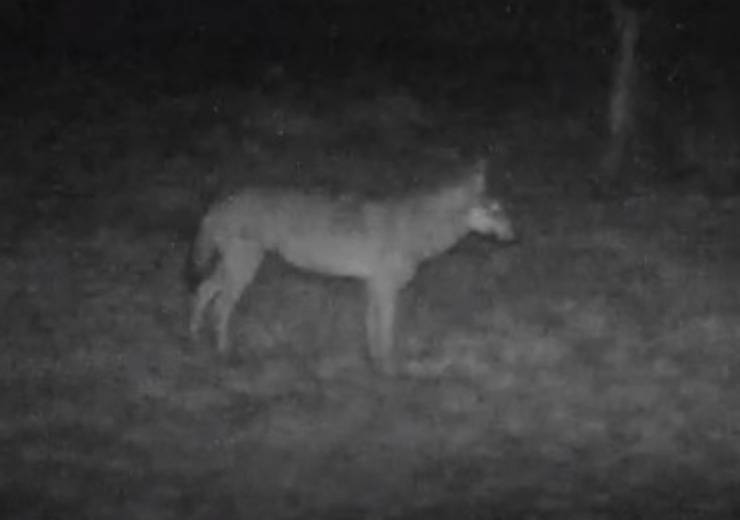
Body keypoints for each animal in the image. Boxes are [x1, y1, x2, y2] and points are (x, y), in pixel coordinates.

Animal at [188, 158, 517, 374]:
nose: (515, 235)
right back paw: (224, 353)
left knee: (204, 290)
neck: (418, 226)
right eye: (494, 210)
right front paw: (389, 371)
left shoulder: (373, 286)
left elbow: (372, 330)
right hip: (244, 268)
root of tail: (218, 203)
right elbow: (385, 332)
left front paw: (375, 365)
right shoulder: (385, 288)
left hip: (237, 267)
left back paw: (193, 335)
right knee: (221, 305)